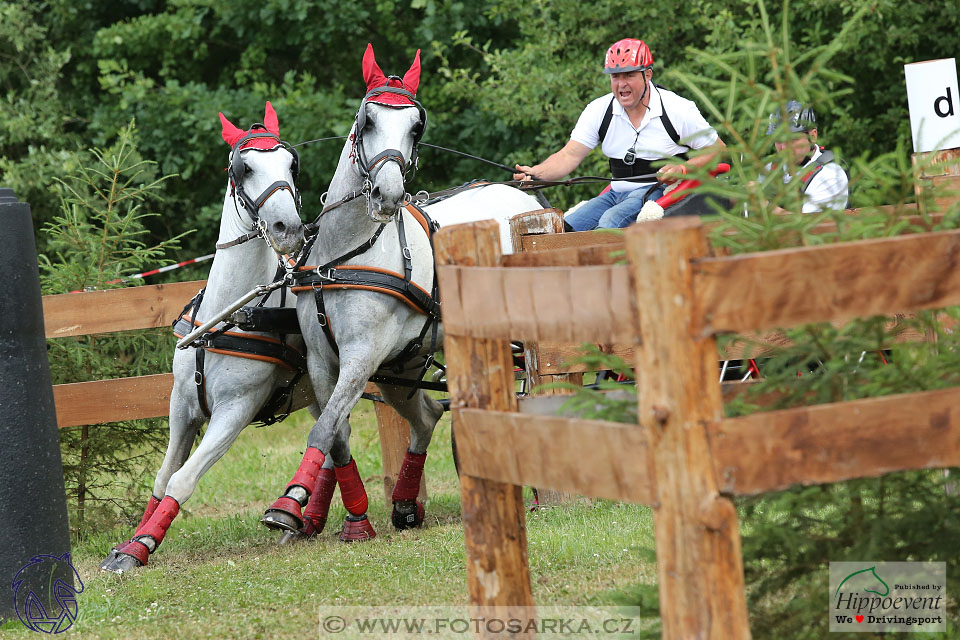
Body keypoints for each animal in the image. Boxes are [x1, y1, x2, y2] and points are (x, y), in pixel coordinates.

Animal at [100, 102, 316, 572]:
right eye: (243, 167)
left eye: (291, 164)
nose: (288, 228)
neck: (226, 317)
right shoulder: (182, 406)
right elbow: (162, 477)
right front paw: (131, 544)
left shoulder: (235, 411)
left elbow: (182, 480)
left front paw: (140, 546)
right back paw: (300, 517)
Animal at [260, 45, 548, 544]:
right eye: (367, 119)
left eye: (416, 126)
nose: (388, 194)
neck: (347, 254)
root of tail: (528, 204)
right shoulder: (323, 360)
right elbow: (335, 434)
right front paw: (350, 517)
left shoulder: (361, 356)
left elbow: (323, 429)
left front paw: (289, 504)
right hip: (406, 363)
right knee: (428, 415)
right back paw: (406, 504)